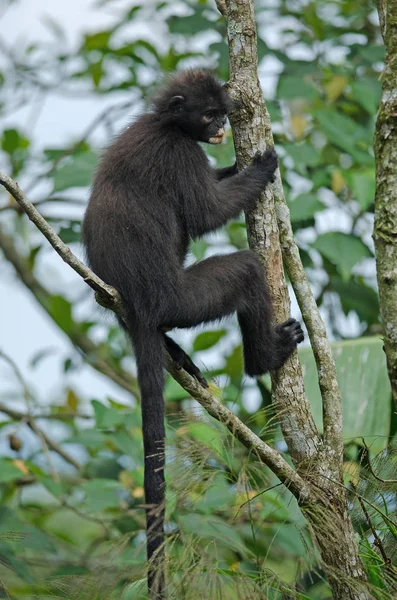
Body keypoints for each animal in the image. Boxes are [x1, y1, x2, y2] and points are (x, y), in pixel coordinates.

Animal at [81, 69, 304, 596]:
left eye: (221, 114)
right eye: (208, 115)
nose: (221, 127)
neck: (167, 124)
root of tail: (140, 304)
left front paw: (238, 165)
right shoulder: (179, 153)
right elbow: (206, 213)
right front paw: (262, 167)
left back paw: (173, 352)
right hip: (184, 298)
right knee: (245, 269)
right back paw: (264, 357)